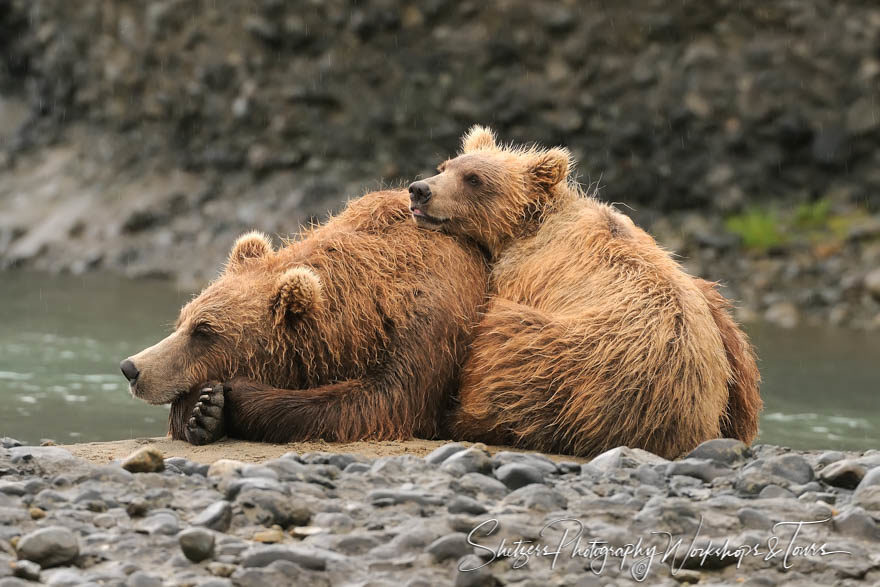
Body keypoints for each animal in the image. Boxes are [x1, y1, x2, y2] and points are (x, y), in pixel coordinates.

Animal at [118, 192, 488, 446]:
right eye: (182, 320)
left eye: (204, 330)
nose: (131, 367)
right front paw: (204, 411)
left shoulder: (429, 324)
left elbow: (380, 401)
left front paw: (234, 396)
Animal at [410, 127, 760, 460]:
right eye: (445, 166)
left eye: (474, 178)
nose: (420, 190)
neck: (525, 227)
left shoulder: (524, 271)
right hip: (730, 352)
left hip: (569, 359)